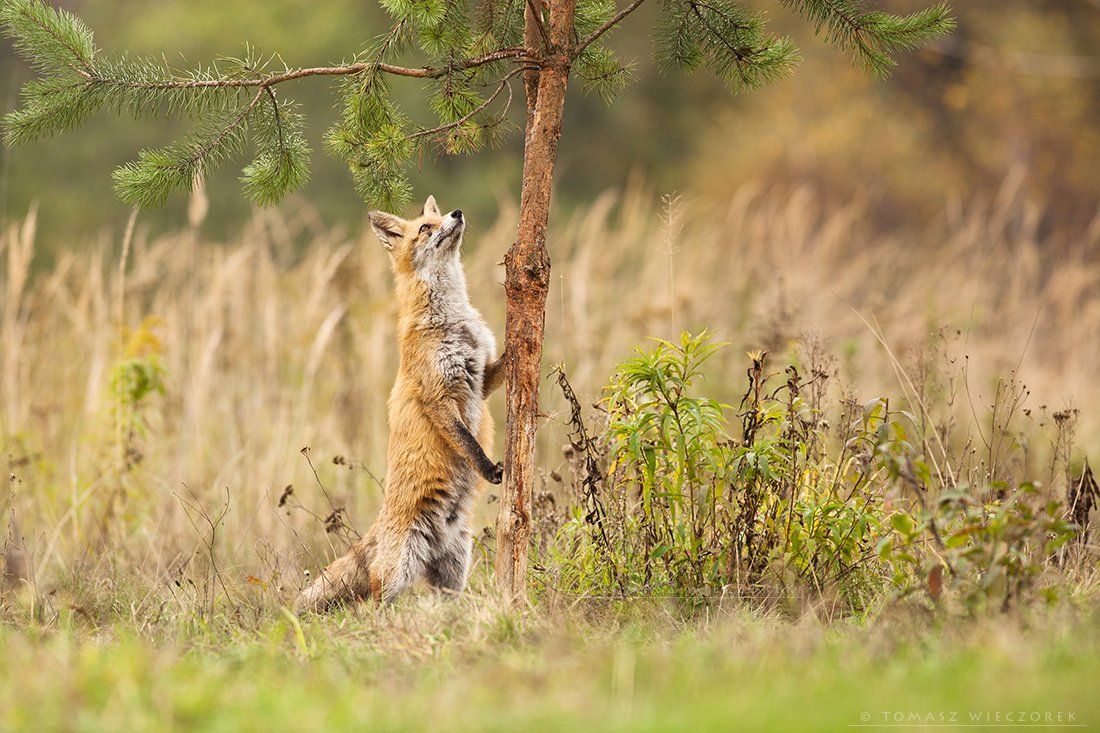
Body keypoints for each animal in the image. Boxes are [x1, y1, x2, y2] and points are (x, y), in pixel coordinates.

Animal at [299, 195, 508, 611]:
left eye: (436, 218)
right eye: (425, 228)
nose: (457, 213)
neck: (452, 320)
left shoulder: (481, 376)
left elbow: (506, 363)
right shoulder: (438, 396)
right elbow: (466, 441)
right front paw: (487, 468)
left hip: (454, 573)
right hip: (397, 573)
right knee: (373, 605)